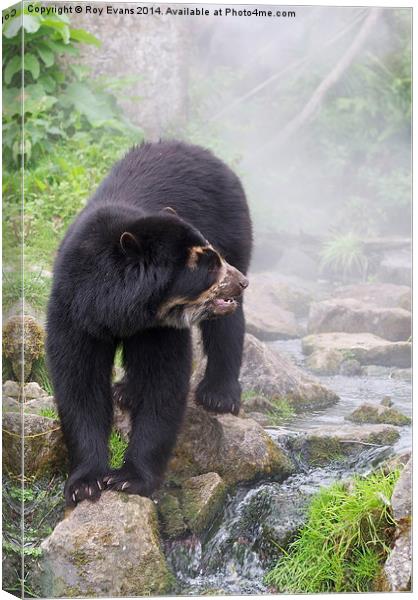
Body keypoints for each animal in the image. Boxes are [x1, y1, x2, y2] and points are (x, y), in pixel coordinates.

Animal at [47, 141, 253, 506]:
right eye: (208, 265)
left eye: (214, 256)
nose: (240, 282)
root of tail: (202, 151)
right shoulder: (71, 310)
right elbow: (79, 383)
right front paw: (85, 483)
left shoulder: (159, 328)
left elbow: (163, 380)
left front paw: (130, 478)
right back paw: (126, 391)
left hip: (233, 223)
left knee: (225, 328)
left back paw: (218, 395)